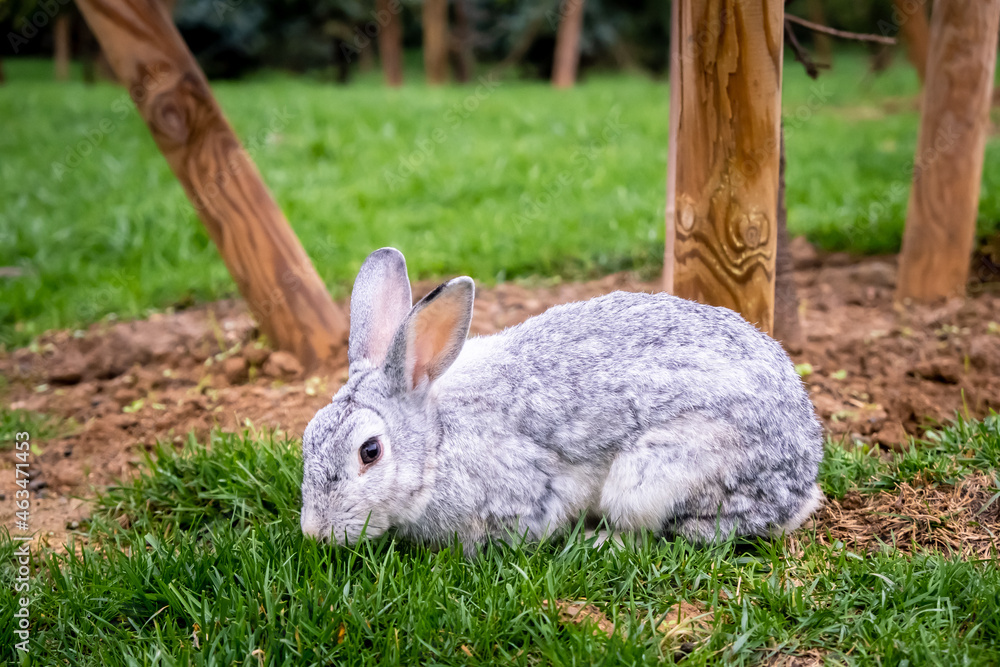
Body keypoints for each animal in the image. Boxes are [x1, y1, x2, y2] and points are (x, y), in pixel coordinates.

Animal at [300, 247, 825, 554]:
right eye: (307, 437)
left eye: (370, 452)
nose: (315, 533)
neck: (437, 441)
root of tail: (802, 477)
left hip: (657, 473)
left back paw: (600, 540)